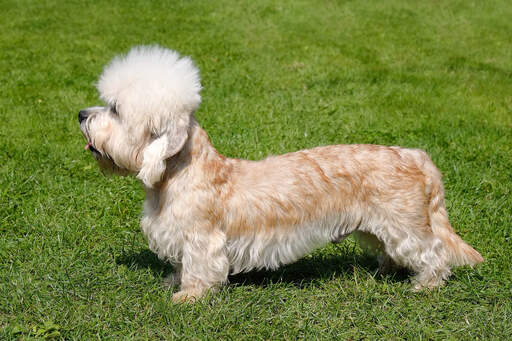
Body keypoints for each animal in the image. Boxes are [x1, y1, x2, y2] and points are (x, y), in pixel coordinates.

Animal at [78, 44, 482, 300]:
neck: (180, 175)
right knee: (393, 252)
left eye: (115, 110)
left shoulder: (202, 239)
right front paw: (171, 282)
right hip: (377, 227)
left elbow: (199, 268)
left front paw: (188, 297)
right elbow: (180, 266)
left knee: (435, 253)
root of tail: (417, 157)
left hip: (406, 227)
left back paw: (425, 286)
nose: (81, 114)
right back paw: (384, 272)